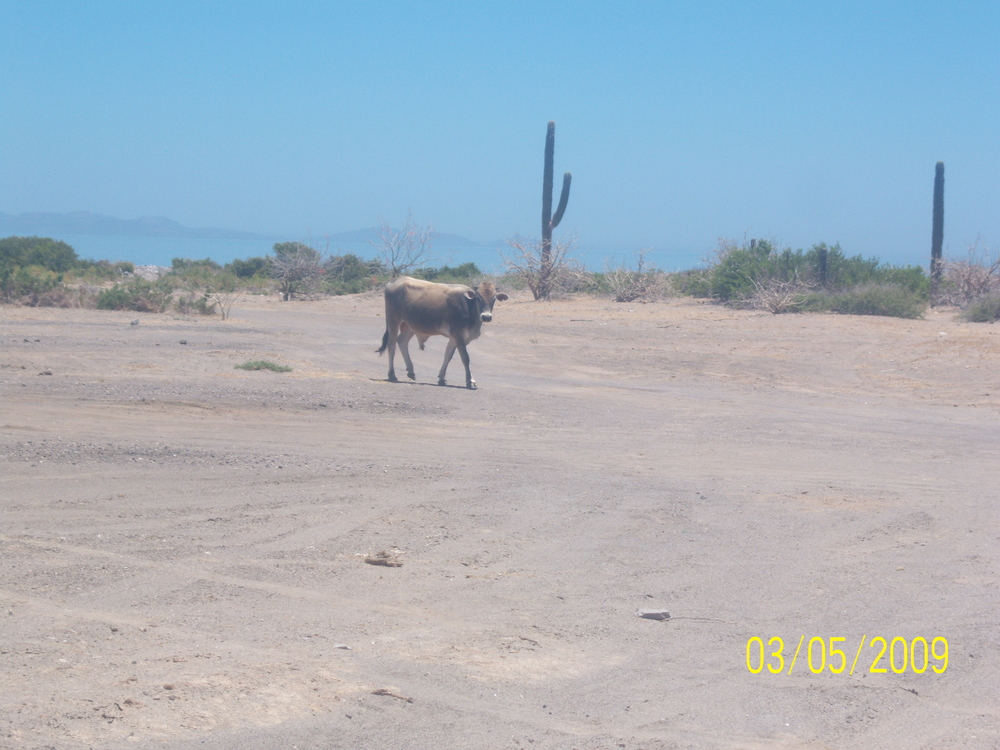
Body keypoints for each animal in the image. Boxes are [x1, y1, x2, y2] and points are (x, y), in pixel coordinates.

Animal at [378, 278, 512, 394]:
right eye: (478, 297)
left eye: (494, 298)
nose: (486, 317)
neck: (468, 306)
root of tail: (394, 281)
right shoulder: (458, 336)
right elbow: (465, 358)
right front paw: (469, 381)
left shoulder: (455, 338)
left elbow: (448, 356)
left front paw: (442, 378)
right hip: (393, 320)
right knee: (392, 344)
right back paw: (392, 375)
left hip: (410, 325)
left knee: (402, 341)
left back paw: (411, 371)